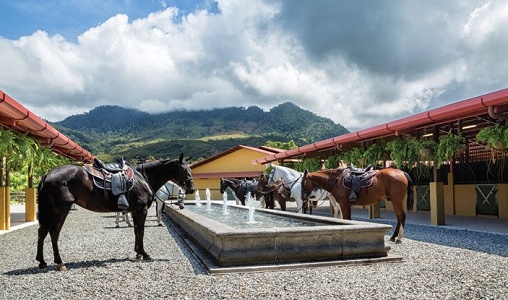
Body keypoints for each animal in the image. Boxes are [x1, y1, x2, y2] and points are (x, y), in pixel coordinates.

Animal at [35, 154, 194, 270]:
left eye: (190, 169)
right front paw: (144, 254)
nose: (192, 189)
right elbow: (141, 231)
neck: (143, 177)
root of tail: (47, 175)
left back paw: (42, 261)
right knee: (53, 233)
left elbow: (136, 231)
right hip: (61, 210)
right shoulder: (141, 210)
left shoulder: (135, 211)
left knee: (42, 232)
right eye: (184, 170)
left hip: (50, 212)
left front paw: (138, 252)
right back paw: (59, 262)